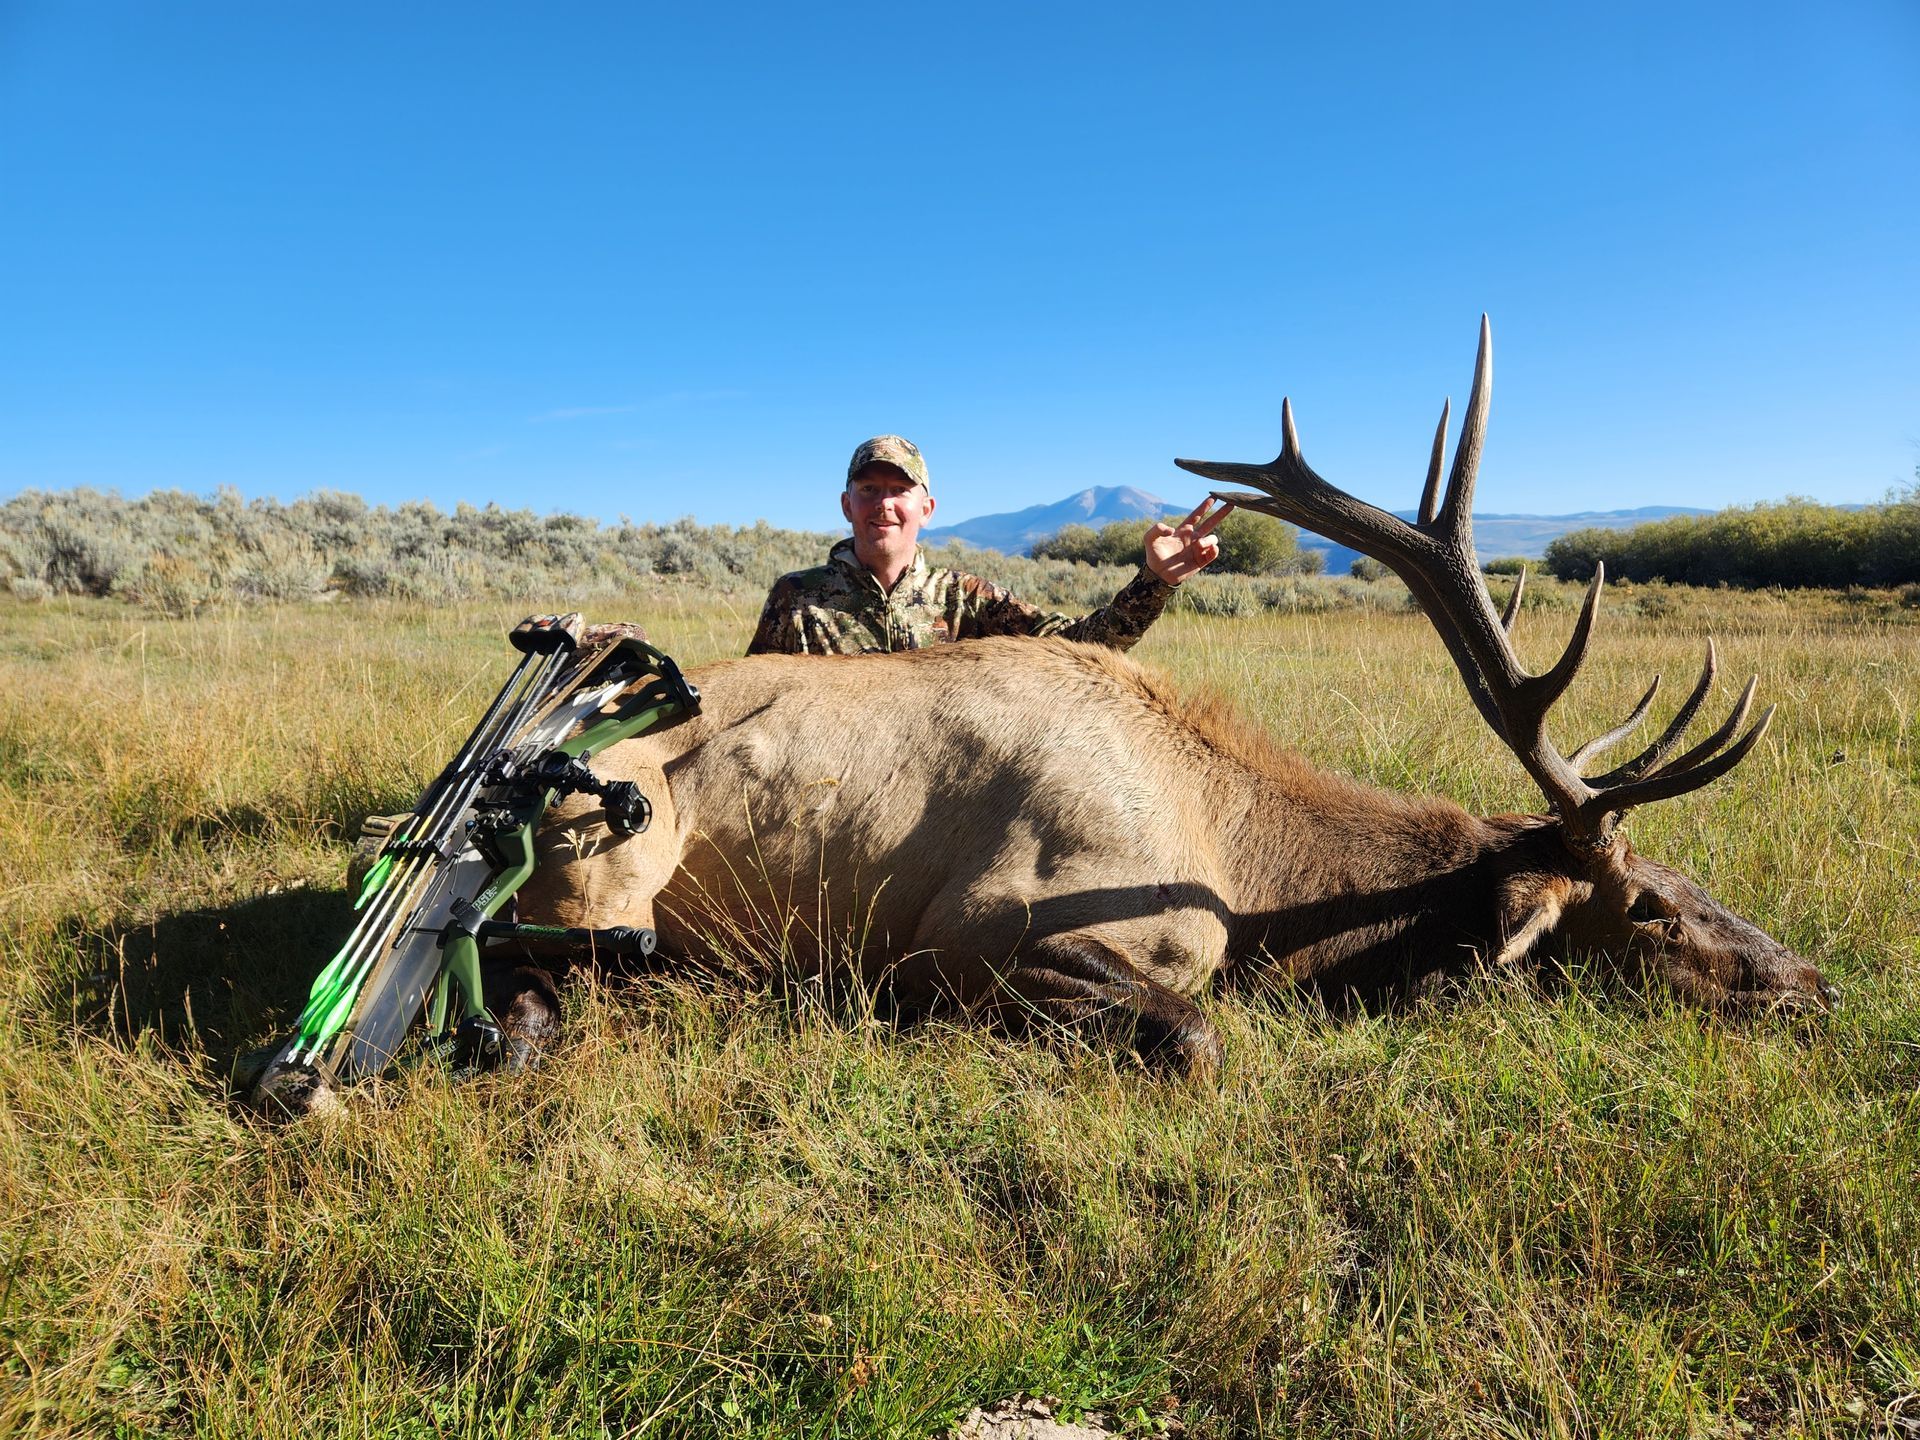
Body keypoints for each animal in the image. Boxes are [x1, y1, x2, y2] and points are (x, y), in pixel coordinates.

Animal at [503, 319, 1835, 1080]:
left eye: (1697, 878)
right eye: (1651, 910)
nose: (1813, 986)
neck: (1251, 877)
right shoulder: (970, 934)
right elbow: (1199, 1036)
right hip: (610, 850)